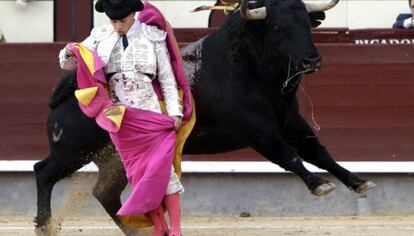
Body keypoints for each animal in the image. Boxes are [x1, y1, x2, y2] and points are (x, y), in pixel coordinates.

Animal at [34, 0, 372, 234]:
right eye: (278, 29)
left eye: (307, 25)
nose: (310, 60)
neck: (250, 69)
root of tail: (68, 94)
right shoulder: (258, 130)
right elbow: (288, 156)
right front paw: (319, 185)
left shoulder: (291, 123)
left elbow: (320, 152)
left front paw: (357, 182)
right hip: (73, 151)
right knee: (43, 171)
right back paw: (43, 225)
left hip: (113, 158)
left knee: (104, 192)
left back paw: (136, 229)